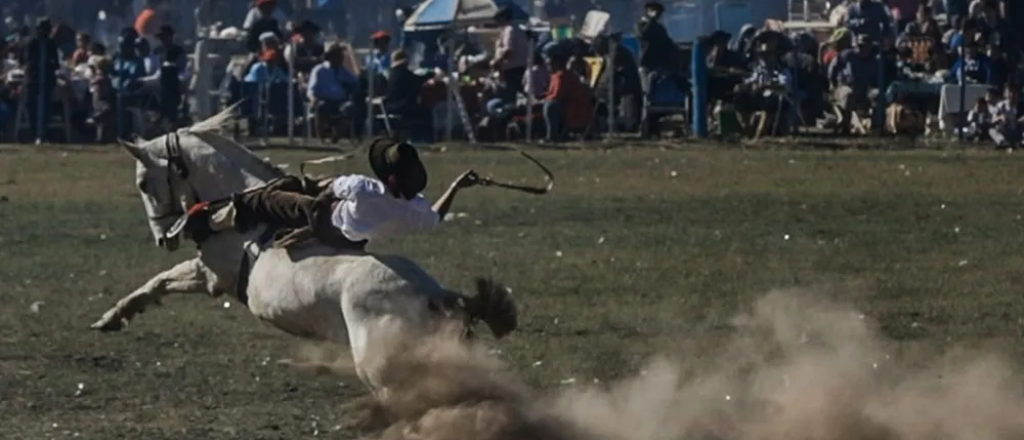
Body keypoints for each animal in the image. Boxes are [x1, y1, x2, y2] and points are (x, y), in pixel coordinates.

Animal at [88, 110, 516, 394]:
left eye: (144, 183)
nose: (164, 237)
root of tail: (438, 296)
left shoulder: (210, 274)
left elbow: (159, 281)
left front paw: (113, 316)